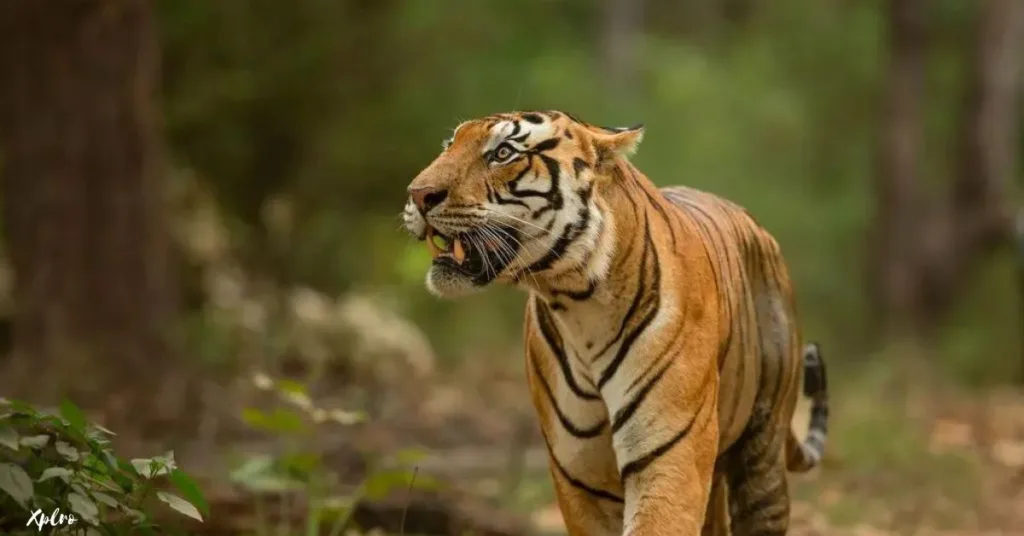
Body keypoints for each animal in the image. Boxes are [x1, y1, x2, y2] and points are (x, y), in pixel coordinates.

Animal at [401, 111, 831, 532]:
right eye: (449, 144)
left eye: (503, 152)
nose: (418, 194)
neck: (577, 301)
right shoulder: (580, 474)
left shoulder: (668, 453)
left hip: (762, 456)